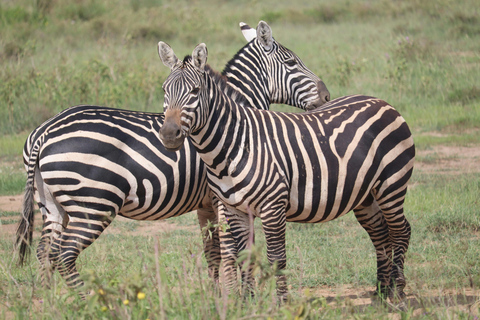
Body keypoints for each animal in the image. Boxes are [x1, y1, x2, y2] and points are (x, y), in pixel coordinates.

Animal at [15, 20, 330, 296]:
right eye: (292, 63)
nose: (327, 95)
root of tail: (44, 131)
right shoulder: (222, 200)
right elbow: (230, 253)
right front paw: (231, 298)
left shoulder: (205, 204)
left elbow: (212, 253)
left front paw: (215, 297)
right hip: (93, 204)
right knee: (64, 255)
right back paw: (87, 301)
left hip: (52, 205)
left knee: (45, 252)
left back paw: (48, 302)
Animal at [159, 41, 414, 304]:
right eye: (164, 90)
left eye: (195, 91)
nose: (168, 135)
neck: (235, 144)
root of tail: (381, 101)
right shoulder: (233, 208)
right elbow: (245, 256)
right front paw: (248, 303)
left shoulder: (273, 206)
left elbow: (276, 258)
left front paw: (281, 303)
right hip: (365, 193)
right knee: (381, 233)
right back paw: (382, 291)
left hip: (392, 184)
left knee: (400, 230)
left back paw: (398, 291)